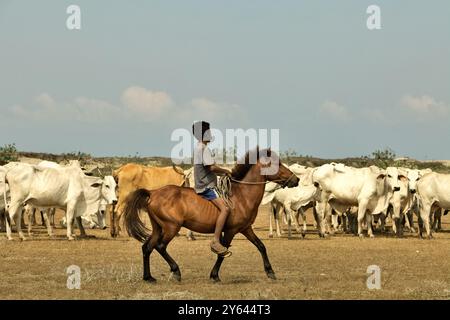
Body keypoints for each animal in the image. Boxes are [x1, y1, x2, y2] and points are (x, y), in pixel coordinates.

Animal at [123, 149, 298, 282]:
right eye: (277, 164)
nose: (296, 179)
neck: (242, 195)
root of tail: (153, 192)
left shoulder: (246, 228)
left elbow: (261, 246)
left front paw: (270, 272)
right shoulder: (230, 231)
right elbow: (222, 253)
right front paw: (214, 275)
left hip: (158, 227)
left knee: (147, 247)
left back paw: (148, 277)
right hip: (171, 227)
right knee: (160, 246)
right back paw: (176, 271)